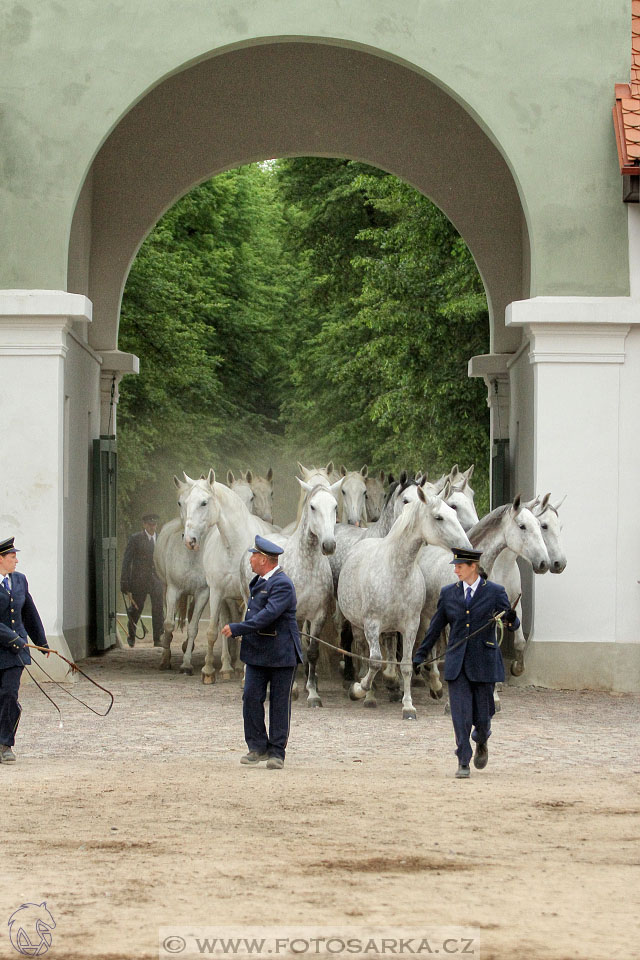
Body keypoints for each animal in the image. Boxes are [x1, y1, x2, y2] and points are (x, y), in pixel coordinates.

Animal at [338, 488, 472, 720]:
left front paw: (408, 706)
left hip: (390, 628)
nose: (468, 550)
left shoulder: (410, 625)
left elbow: (407, 665)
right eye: (439, 517)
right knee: (364, 655)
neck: (396, 571)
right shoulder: (371, 624)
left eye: (453, 512)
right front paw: (358, 690)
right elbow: (375, 661)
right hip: (358, 626)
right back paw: (367, 695)